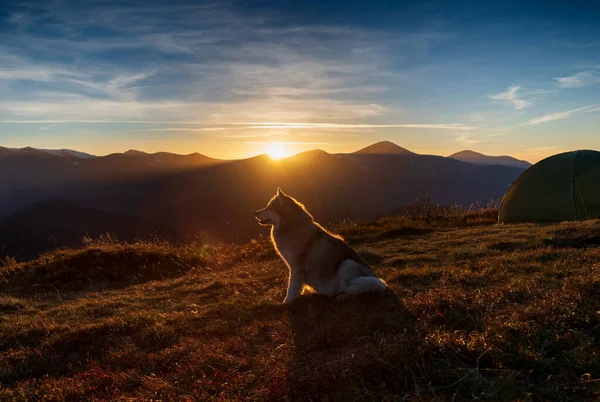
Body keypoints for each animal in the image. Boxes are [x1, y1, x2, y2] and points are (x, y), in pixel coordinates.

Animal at [252, 190, 384, 304]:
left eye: (269, 208)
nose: (255, 213)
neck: (291, 226)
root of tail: (383, 285)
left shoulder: (296, 268)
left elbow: (291, 288)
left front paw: (286, 302)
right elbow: (297, 287)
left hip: (347, 264)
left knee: (352, 289)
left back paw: (342, 296)